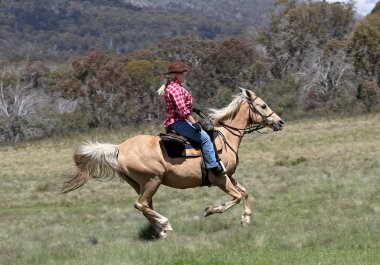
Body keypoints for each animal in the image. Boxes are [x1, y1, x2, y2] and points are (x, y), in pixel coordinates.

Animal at [60, 88, 284, 237]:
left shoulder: (228, 175)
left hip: (140, 184)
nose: (280, 122)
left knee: (145, 206)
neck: (226, 137)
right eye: (263, 105)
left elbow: (244, 192)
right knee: (141, 204)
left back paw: (162, 231)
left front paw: (245, 219)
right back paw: (166, 225)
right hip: (152, 180)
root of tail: (119, 148)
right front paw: (210, 210)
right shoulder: (220, 178)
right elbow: (236, 197)